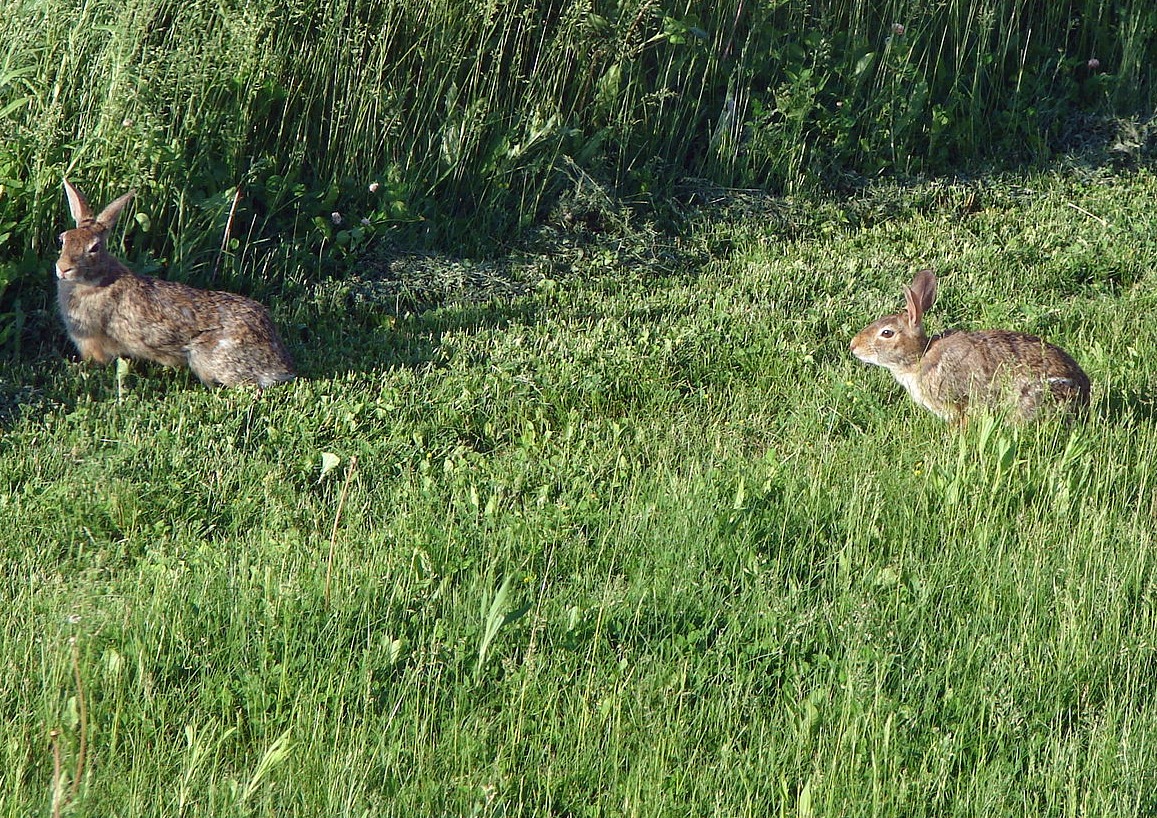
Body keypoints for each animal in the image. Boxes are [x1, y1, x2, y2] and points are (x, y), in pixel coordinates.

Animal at [55, 179, 295, 387]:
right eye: (63, 239)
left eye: (94, 248)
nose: (63, 268)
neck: (97, 280)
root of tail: (279, 361)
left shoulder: (93, 342)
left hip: (208, 361)